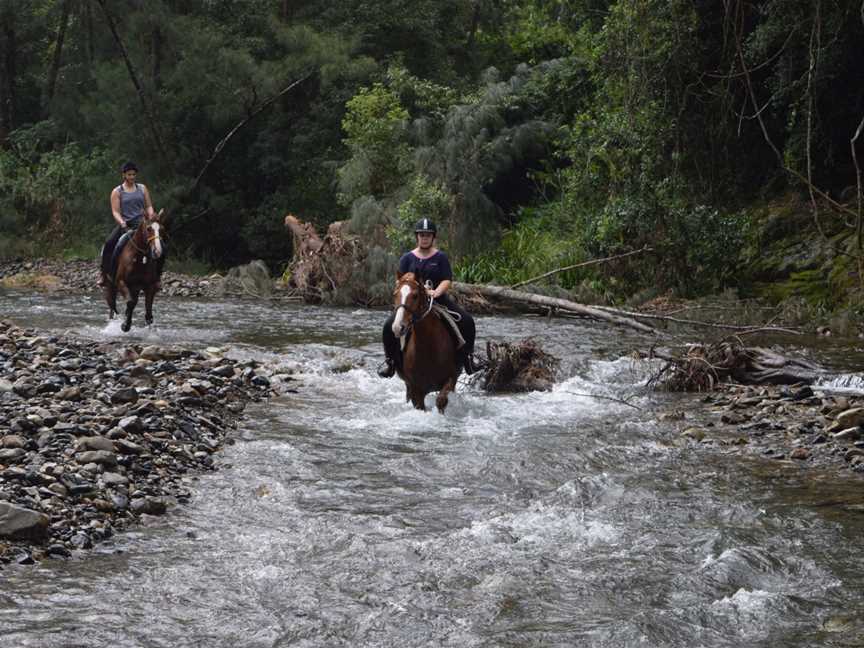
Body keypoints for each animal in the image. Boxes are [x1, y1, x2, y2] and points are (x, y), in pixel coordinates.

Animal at [392, 270, 462, 412]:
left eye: (415, 296)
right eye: (395, 294)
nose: (398, 327)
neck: (428, 346)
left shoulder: (451, 378)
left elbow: (441, 401)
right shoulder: (416, 389)